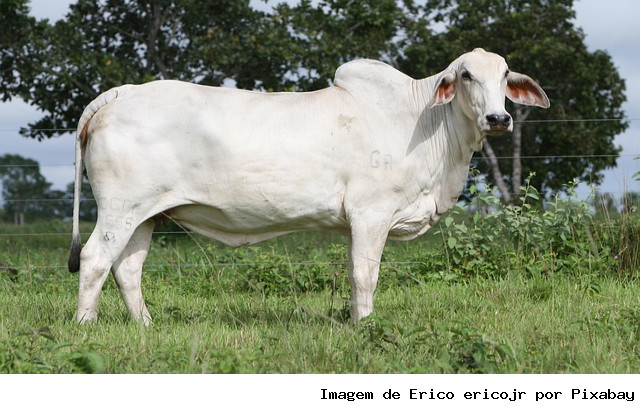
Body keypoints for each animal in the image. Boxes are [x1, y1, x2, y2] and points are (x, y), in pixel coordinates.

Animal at [68, 48, 549, 325]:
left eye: (505, 74)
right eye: (466, 75)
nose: (499, 118)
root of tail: (121, 93)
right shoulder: (371, 214)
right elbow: (364, 274)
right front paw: (364, 326)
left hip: (146, 215)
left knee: (127, 269)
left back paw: (146, 326)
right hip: (120, 209)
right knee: (94, 260)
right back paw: (84, 326)